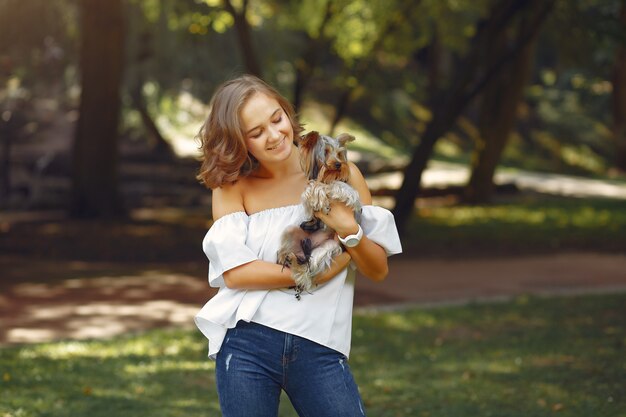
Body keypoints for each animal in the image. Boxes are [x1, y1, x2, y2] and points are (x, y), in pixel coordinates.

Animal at [276, 131, 360, 296]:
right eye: (325, 152)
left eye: (339, 154)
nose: (338, 164)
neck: (327, 176)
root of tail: (304, 251)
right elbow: (312, 190)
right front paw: (318, 195)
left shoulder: (348, 192)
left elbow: (335, 185)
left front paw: (323, 191)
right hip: (290, 231)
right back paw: (286, 257)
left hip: (328, 247)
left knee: (308, 269)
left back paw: (296, 263)